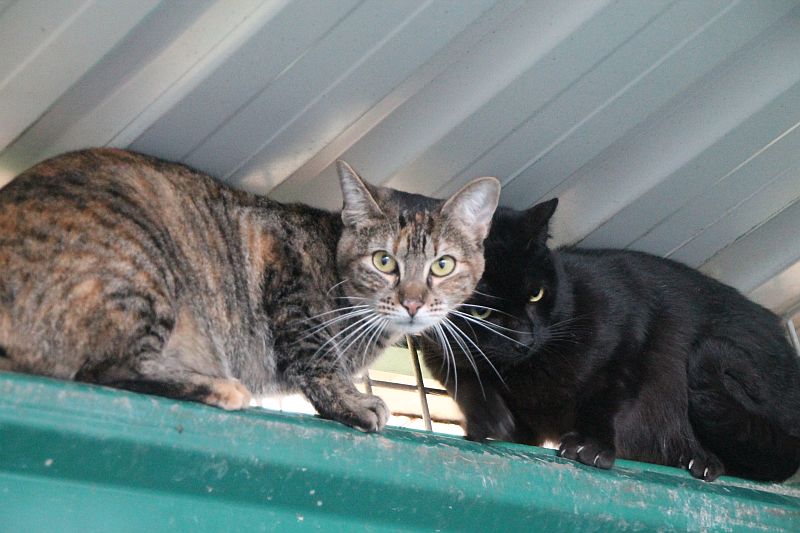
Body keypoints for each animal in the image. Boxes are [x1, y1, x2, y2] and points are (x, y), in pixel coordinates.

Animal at [0, 148, 500, 432]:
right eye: (383, 261)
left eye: (442, 265)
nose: (412, 302)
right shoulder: (283, 268)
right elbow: (317, 359)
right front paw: (352, 404)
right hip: (140, 268)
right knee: (105, 368)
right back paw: (219, 386)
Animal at [422, 198, 800, 481]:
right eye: (481, 313)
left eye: (535, 294)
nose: (524, 339)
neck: (523, 372)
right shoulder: (439, 353)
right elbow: (470, 382)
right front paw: (490, 423)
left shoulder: (630, 332)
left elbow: (604, 397)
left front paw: (590, 446)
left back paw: (701, 459)